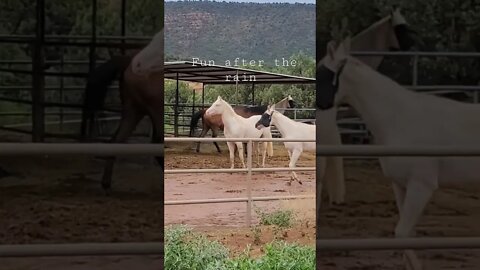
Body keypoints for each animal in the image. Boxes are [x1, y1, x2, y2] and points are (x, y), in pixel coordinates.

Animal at [316, 36, 478, 270]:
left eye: (320, 73)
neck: (399, 117)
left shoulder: (421, 185)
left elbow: (401, 233)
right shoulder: (400, 184)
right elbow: (408, 234)